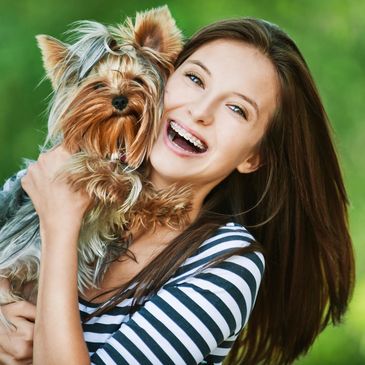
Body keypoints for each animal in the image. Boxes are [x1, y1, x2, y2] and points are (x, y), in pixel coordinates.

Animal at [0, 4, 192, 324]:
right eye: (98, 85)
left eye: (137, 80)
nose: (120, 100)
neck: (116, 137)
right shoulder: (76, 165)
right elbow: (117, 177)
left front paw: (168, 203)